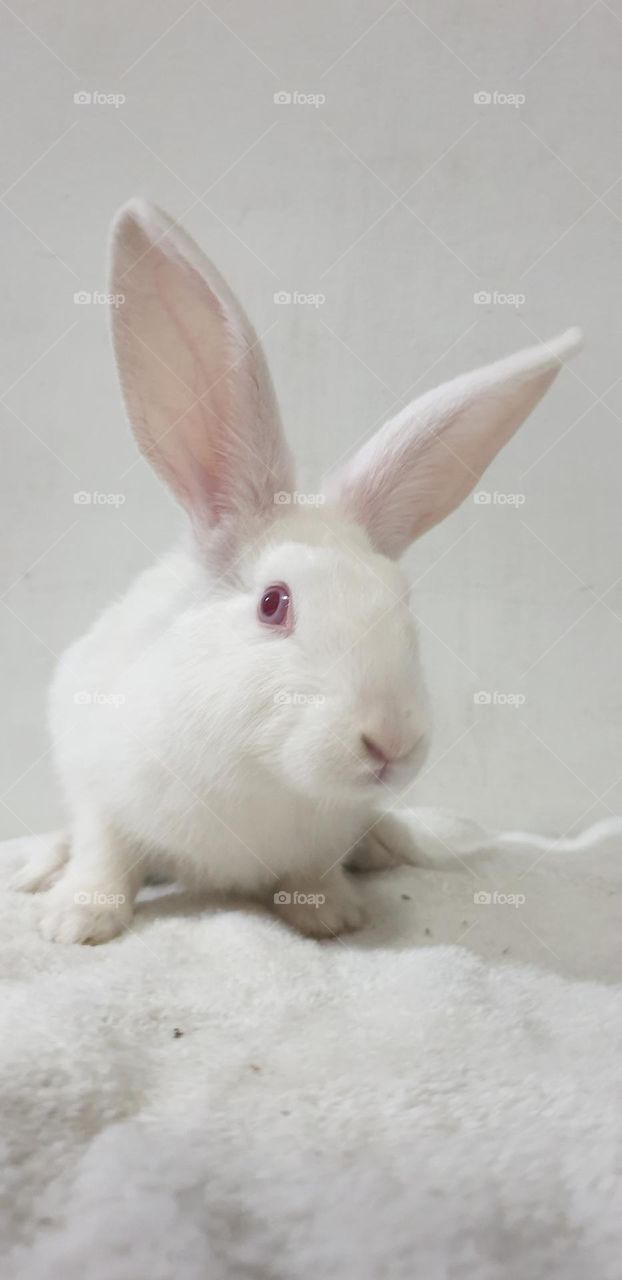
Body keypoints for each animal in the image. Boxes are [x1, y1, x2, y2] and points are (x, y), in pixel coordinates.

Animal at [14, 199, 582, 944]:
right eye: (273, 604)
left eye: (404, 603)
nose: (392, 741)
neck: (268, 772)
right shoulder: (99, 788)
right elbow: (105, 854)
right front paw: (74, 922)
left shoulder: (327, 833)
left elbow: (315, 870)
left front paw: (331, 915)